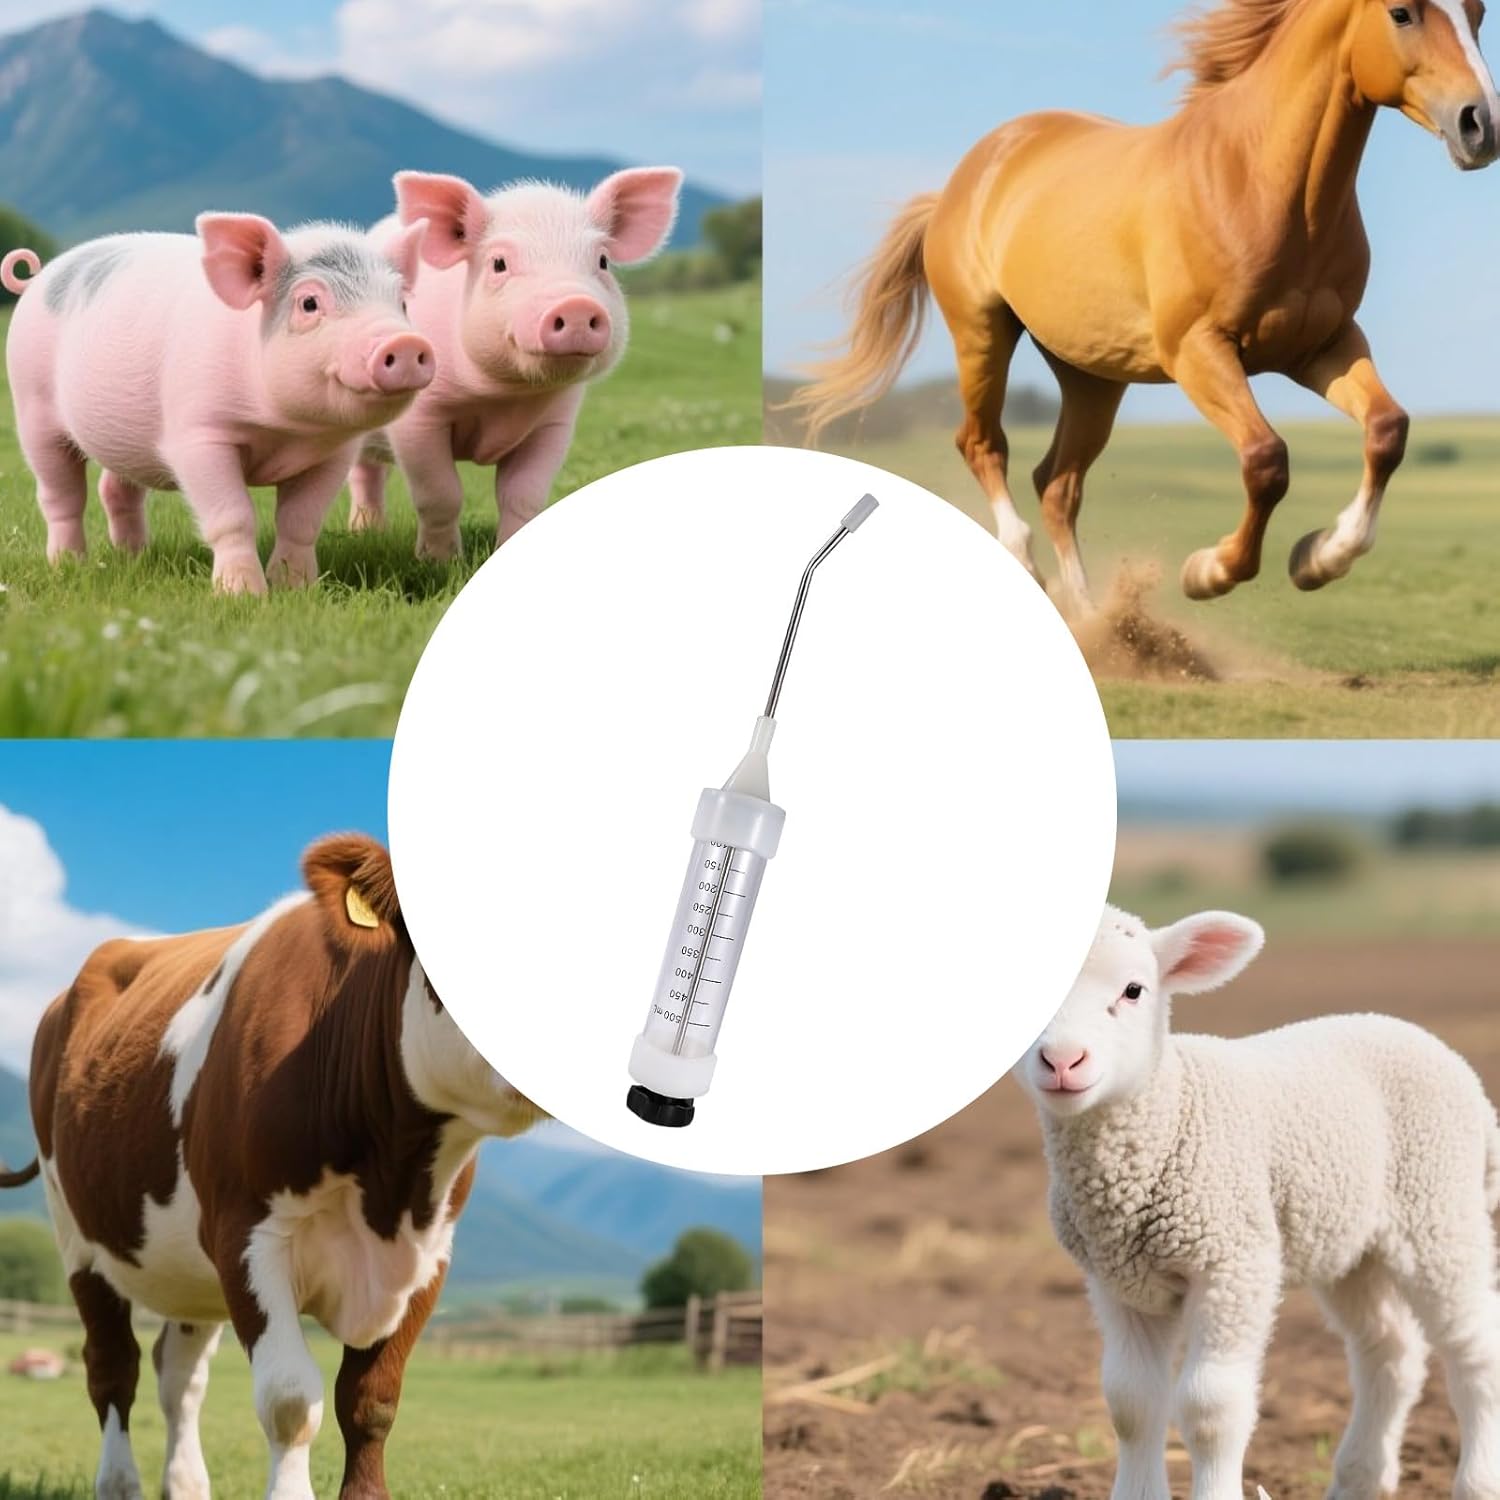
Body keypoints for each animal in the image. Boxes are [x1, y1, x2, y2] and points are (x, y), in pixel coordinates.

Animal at [786, 0, 1498, 616]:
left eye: (1478, 12)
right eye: (1401, 12)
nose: (1480, 125)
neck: (1263, 185)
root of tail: (965, 178)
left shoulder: (1324, 346)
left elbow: (1387, 430)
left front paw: (1318, 558)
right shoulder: (1200, 352)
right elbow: (1266, 461)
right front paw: (1208, 571)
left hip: (1091, 375)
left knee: (1057, 483)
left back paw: (1094, 618)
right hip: (982, 334)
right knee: (985, 447)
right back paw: (1035, 576)